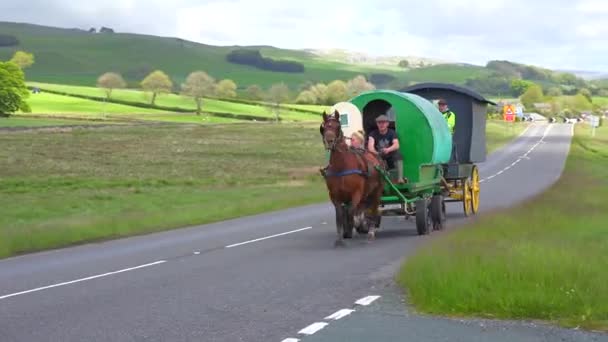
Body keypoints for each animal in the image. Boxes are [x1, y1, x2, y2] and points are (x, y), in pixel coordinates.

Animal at [318, 109, 384, 246]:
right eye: (324, 127)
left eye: (337, 126)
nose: (329, 140)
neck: (342, 167)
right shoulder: (335, 196)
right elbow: (340, 214)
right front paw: (340, 238)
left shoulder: (356, 193)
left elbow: (350, 211)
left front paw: (350, 229)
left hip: (377, 191)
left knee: (373, 209)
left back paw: (370, 232)